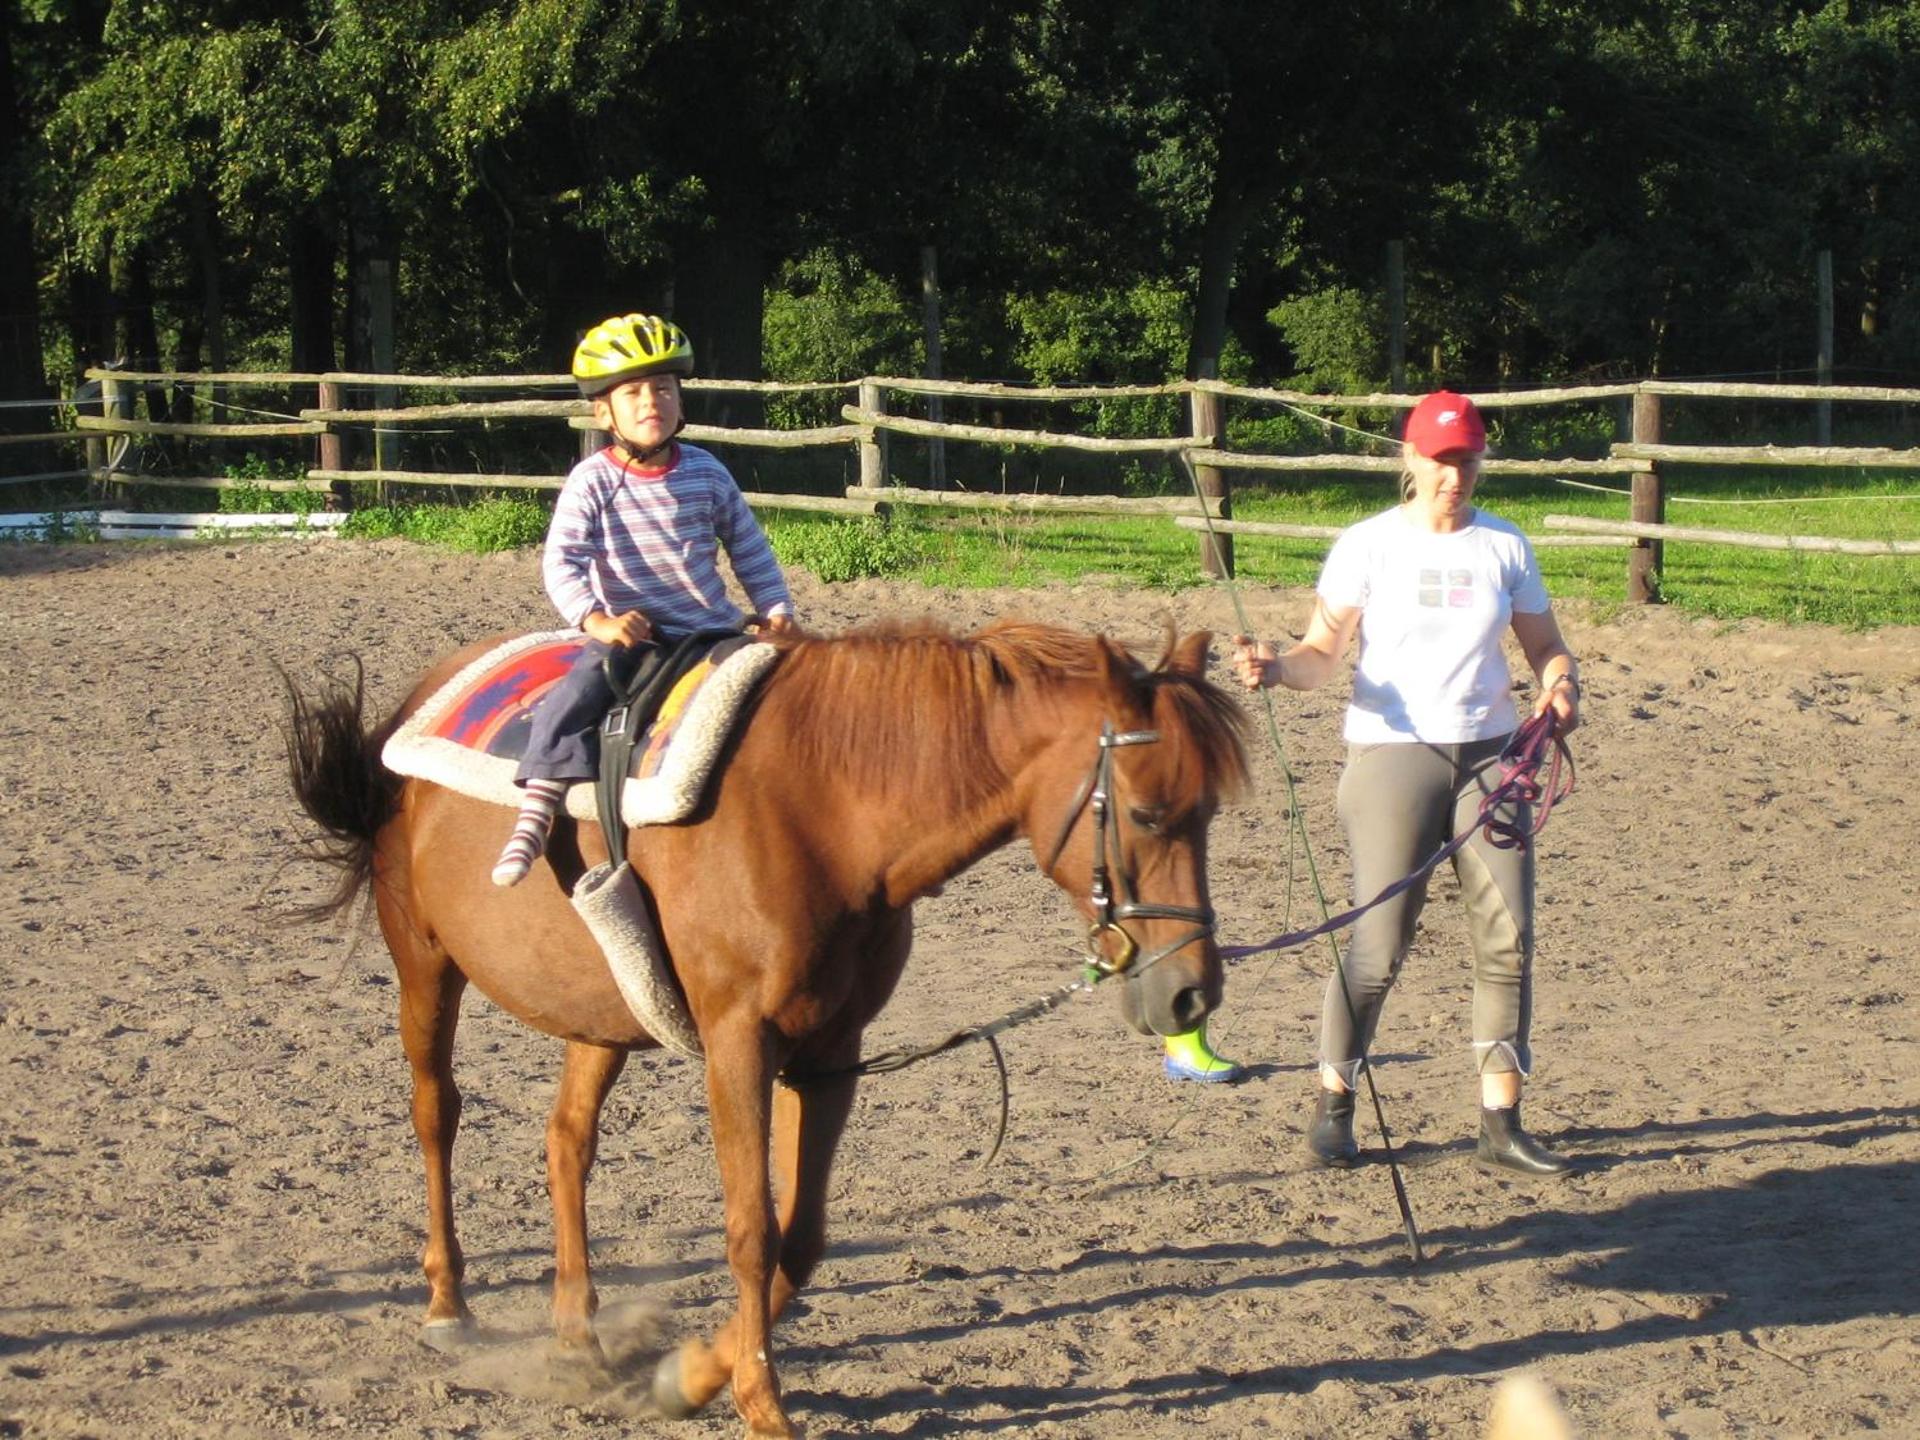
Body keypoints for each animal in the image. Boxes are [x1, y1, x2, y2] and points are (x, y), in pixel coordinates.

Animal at [283, 618, 1249, 1438]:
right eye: (1150, 813)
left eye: (1211, 815)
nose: (1193, 996)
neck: (826, 812)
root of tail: (421, 697)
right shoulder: (738, 1046)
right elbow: (751, 1231)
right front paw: (758, 1401)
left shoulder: (827, 1051)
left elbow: (802, 1235)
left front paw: (689, 1376)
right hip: (424, 966)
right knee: (436, 1115)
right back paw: (449, 1304)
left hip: (599, 1014)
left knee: (566, 1142)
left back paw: (577, 1332)